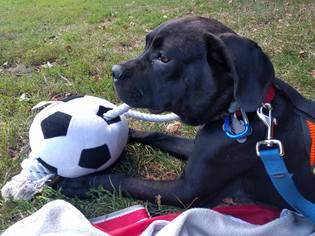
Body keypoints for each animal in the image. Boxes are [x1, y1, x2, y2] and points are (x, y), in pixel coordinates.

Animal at [59, 16, 315, 208]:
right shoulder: (196, 149)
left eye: (164, 58)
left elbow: (122, 181)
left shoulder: (186, 191)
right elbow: (158, 135)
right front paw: (129, 133)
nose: (114, 71)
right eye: (146, 45)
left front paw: (77, 183)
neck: (236, 112)